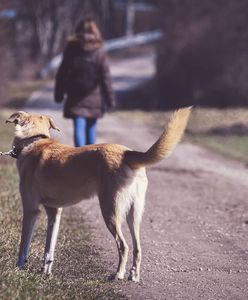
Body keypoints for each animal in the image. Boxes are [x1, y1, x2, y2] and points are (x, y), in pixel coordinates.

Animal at [4, 108, 191, 282]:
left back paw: (118, 274)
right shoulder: (55, 212)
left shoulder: (31, 209)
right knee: (137, 248)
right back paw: (134, 275)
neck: (35, 140)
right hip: (133, 214)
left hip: (110, 211)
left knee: (124, 246)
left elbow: (24, 245)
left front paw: (18, 269)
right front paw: (46, 272)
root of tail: (127, 153)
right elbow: (49, 248)